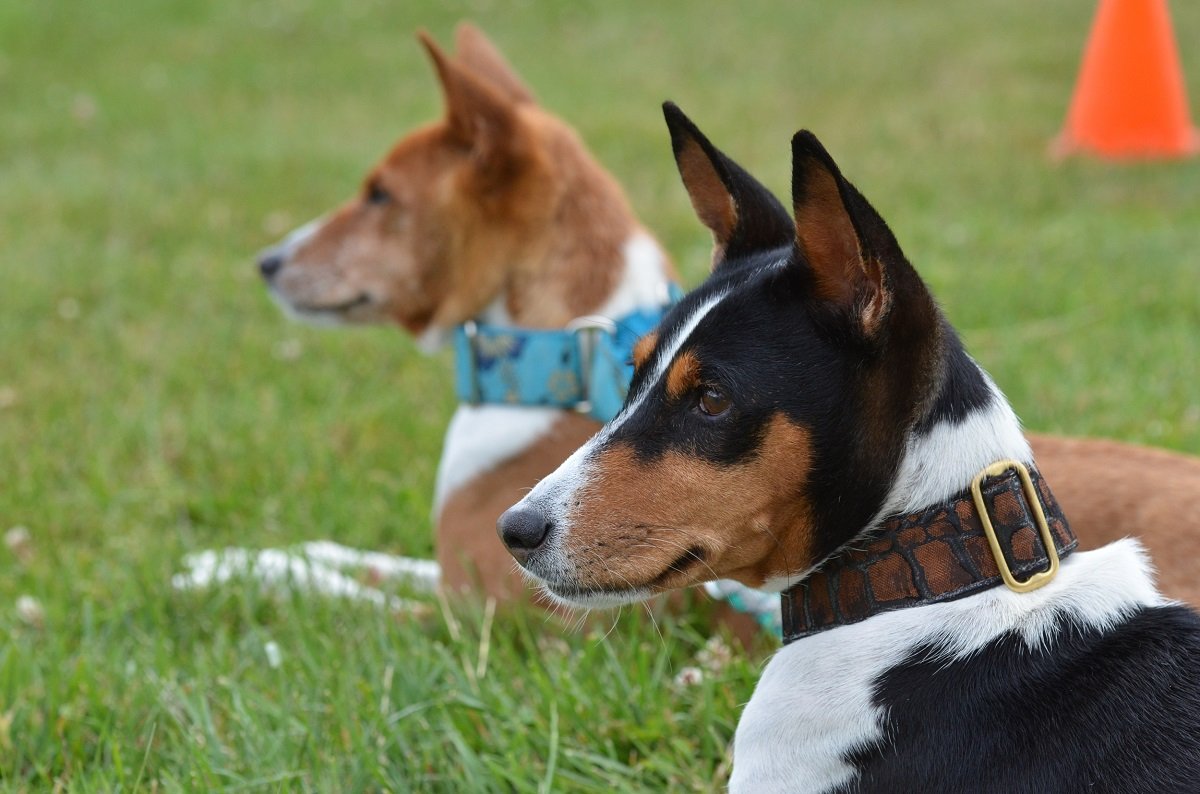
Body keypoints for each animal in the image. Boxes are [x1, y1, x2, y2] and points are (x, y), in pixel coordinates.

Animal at [260, 21, 1200, 611]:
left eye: (380, 195)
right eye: (635, 371)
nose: (266, 261)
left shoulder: (495, 625)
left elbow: (352, 597)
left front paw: (255, 577)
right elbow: (360, 560)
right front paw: (263, 553)